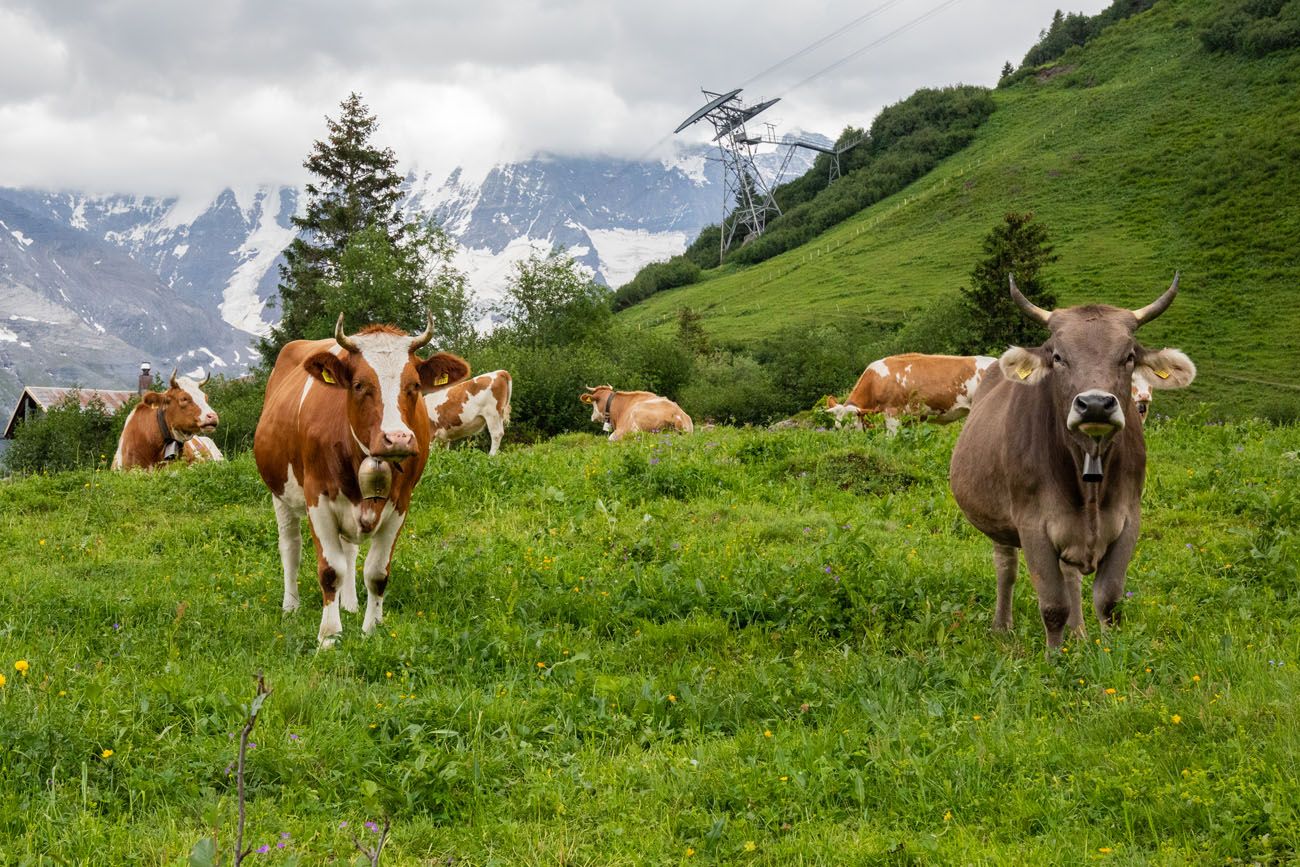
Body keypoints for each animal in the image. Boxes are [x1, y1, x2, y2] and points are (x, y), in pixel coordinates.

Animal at [250, 315, 470, 647]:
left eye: (414, 386)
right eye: (359, 385)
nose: (397, 438)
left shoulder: (400, 504)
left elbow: (377, 573)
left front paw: (372, 629)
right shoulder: (318, 499)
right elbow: (330, 571)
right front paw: (328, 636)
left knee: (349, 551)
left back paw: (350, 605)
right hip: (281, 493)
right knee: (290, 546)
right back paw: (291, 607)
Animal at [946, 276, 1196, 649]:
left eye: (1128, 356)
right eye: (1058, 357)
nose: (1094, 404)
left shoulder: (1128, 520)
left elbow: (1109, 601)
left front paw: (1108, 652)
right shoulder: (1033, 525)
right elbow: (1053, 605)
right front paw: (1054, 658)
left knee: (1070, 575)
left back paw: (1078, 634)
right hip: (998, 521)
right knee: (1006, 567)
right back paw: (1002, 627)